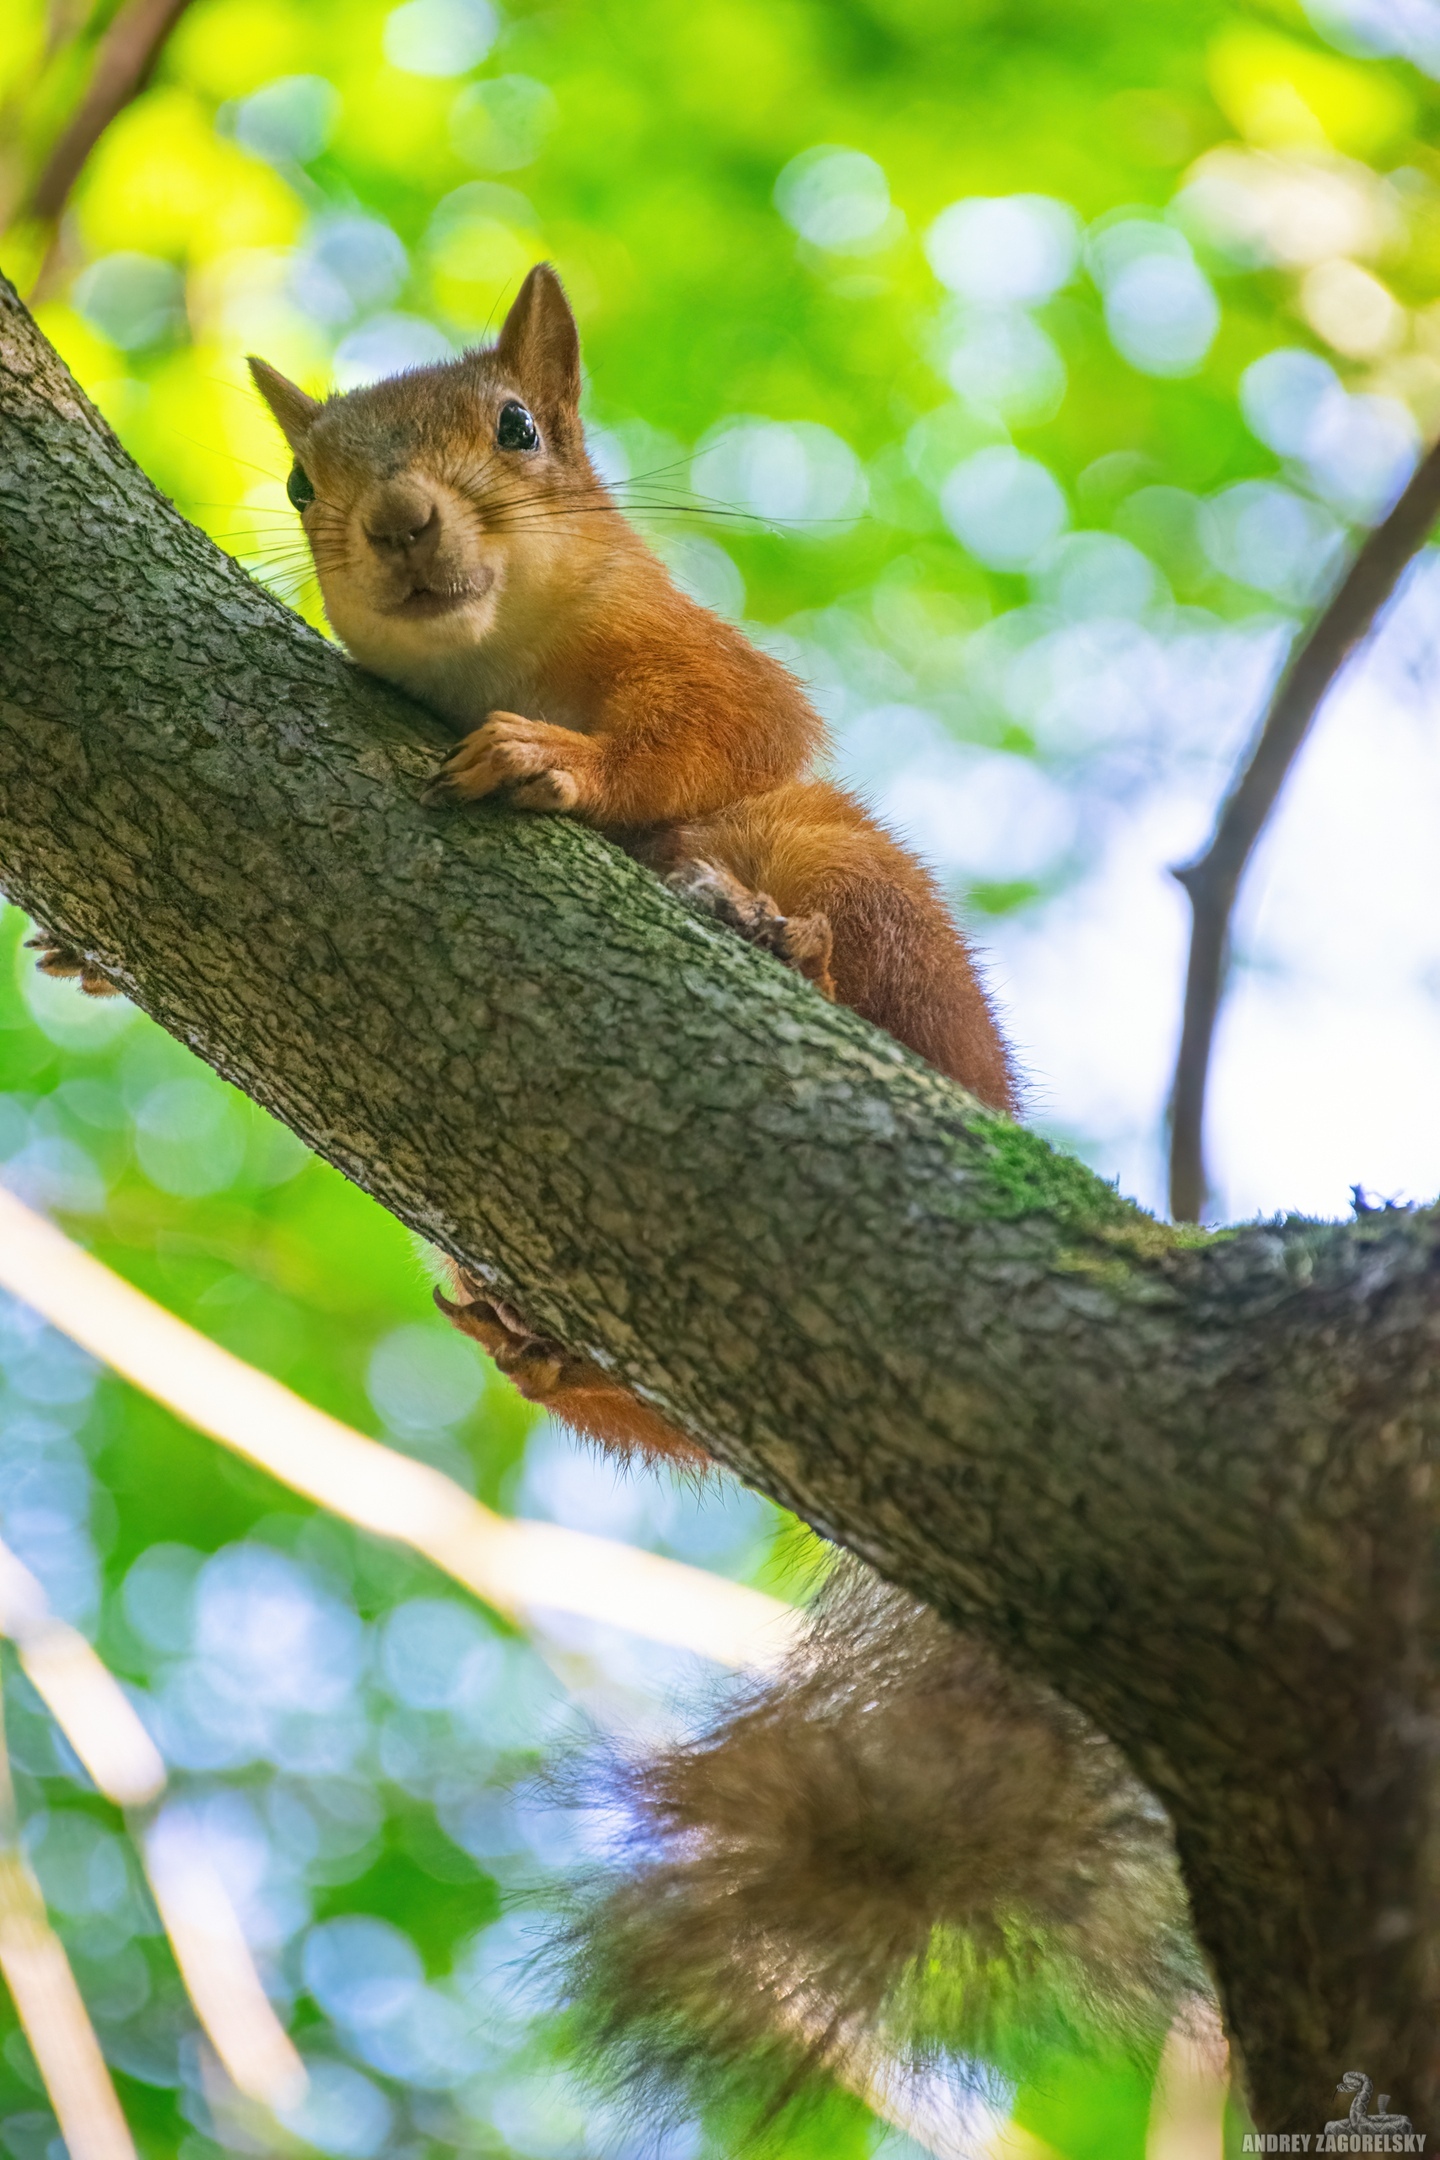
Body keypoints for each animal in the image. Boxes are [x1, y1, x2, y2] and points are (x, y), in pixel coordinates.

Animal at [248, 261, 1014, 1460]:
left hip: (859, 888)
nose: (400, 520)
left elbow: (732, 732)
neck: (487, 661)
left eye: (518, 427)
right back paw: (534, 1338)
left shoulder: (700, 653)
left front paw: (554, 756)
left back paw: (786, 945)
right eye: (295, 483)